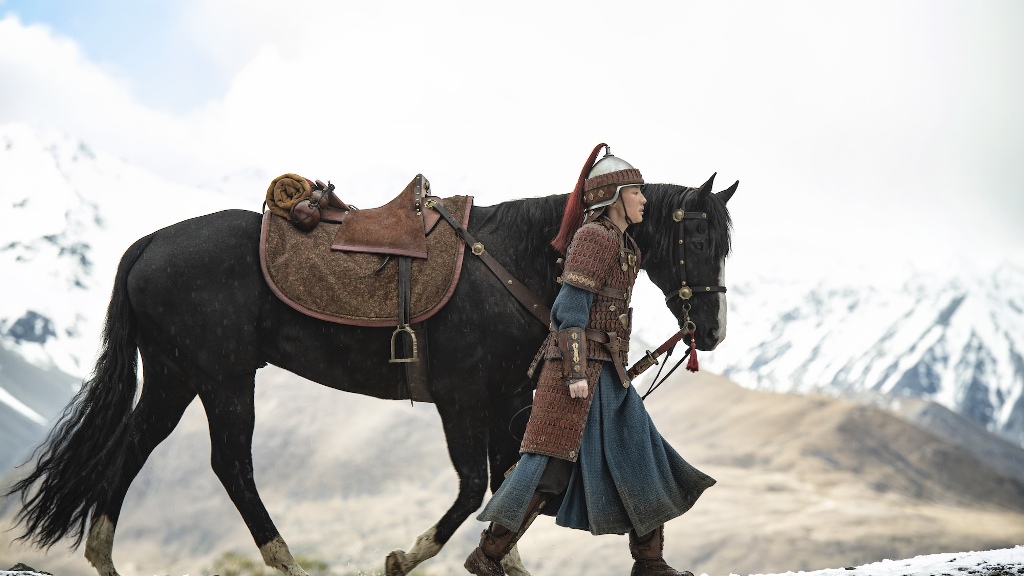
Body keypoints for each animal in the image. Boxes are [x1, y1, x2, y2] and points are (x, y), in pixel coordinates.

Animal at [4, 176, 733, 573]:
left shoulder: (507, 401)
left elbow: (513, 488)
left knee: (132, 447)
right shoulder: (461, 400)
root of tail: (149, 242)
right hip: (223, 377)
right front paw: (402, 557)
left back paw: (103, 557)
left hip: (174, 375)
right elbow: (476, 489)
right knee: (231, 465)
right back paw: (286, 561)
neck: (512, 259)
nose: (713, 330)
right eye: (700, 238)